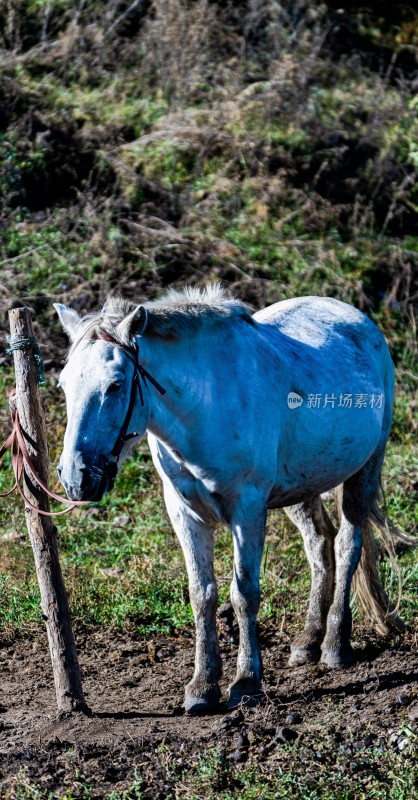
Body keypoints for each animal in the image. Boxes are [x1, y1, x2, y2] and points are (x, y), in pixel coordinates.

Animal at [54, 286, 404, 712]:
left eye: (116, 385)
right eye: (64, 385)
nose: (76, 477)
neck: (205, 405)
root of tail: (357, 317)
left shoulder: (247, 509)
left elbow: (244, 595)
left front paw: (246, 682)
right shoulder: (184, 513)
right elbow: (201, 594)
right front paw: (202, 686)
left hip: (364, 471)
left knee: (347, 545)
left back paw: (336, 645)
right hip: (301, 488)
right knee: (319, 545)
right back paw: (308, 640)